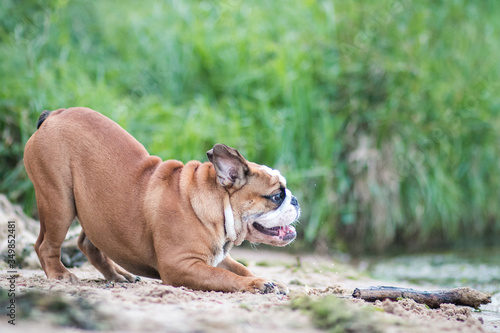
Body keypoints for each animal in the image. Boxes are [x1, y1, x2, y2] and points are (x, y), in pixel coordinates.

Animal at [23, 107, 298, 294]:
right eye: (277, 196)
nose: (295, 200)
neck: (215, 205)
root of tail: (54, 115)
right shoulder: (181, 265)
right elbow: (223, 276)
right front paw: (257, 284)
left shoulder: (216, 256)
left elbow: (239, 267)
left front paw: (271, 281)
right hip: (59, 202)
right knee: (45, 245)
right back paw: (60, 275)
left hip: (95, 212)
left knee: (88, 243)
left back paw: (118, 275)